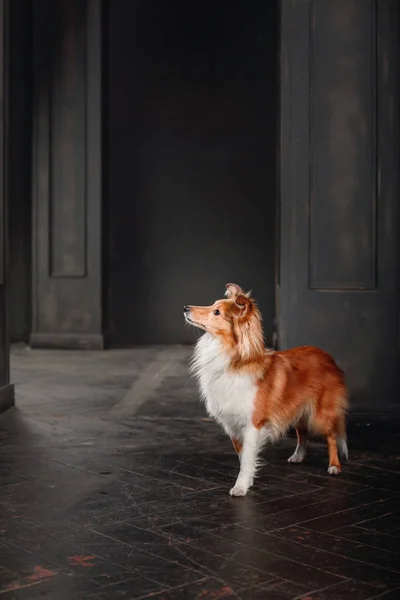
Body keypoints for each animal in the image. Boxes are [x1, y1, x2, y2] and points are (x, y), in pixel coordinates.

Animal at [183, 284, 348, 500]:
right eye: (213, 306)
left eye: (217, 312)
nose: (185, 308)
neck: (233, 360)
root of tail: (327, 357)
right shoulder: (233, 423)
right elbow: (243, 455)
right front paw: (249, 479)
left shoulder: (253, 423)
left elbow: (246, 458)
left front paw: (241, 487)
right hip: (296, 409)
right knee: (303, 433)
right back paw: (298, 456)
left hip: (320, 413)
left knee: (331, 435)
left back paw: (334, 465)